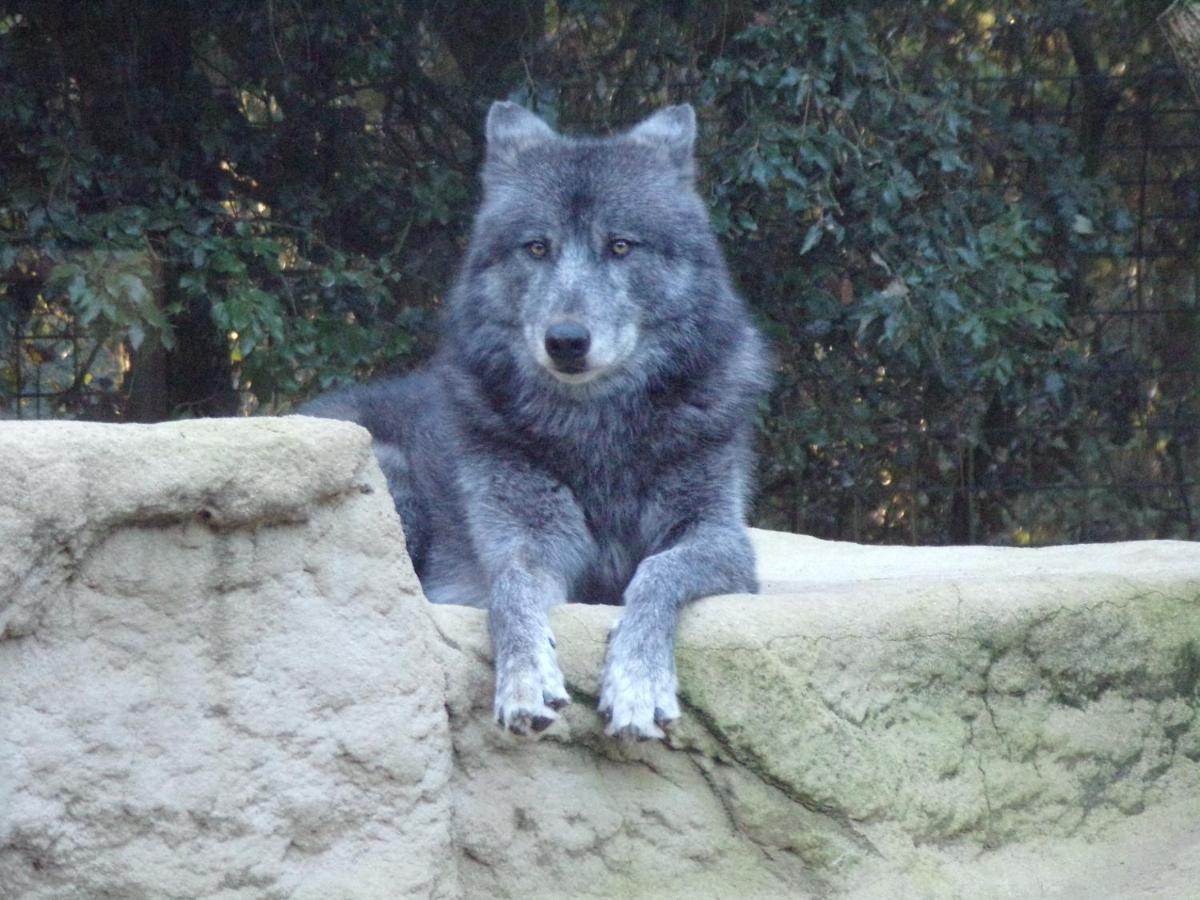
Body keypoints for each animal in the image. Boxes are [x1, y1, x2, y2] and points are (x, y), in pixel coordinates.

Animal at [300, 102, 768, 744]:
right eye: (538, 248)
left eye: (621, 246)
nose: (566, 341)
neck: (596, 432)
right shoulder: (529, 543)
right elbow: (510, 587)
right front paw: (524, 680)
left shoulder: (720, 538)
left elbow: (657, 572)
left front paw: (638, 682)